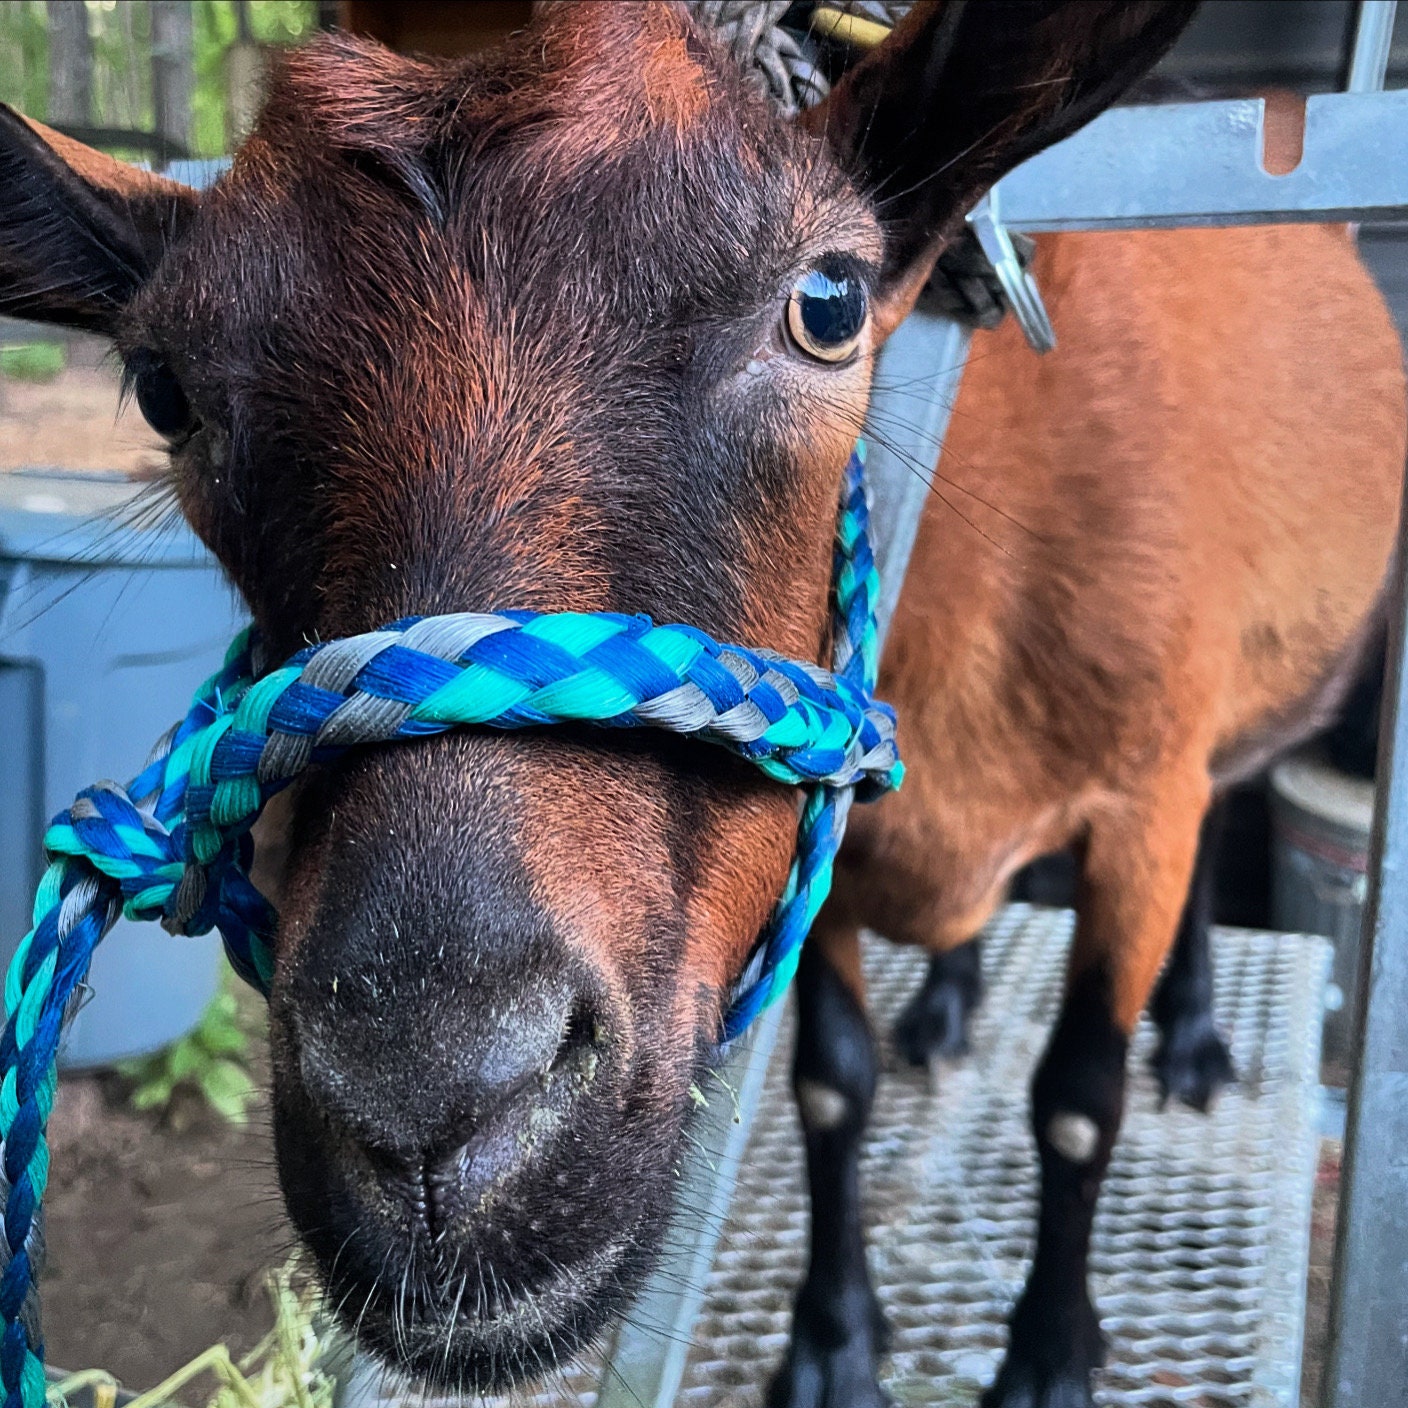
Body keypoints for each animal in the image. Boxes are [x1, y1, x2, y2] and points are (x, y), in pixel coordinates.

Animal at [1, 4, 1401, 1406]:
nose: (428, 1104)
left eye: (827, 302)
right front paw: (832, 1339)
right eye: (167, 390)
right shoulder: (822, 839)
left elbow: (1073, 1103)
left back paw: (1193, 1035)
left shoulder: (1135, 804)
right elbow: (833, 1086)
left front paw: (1051, 1356)